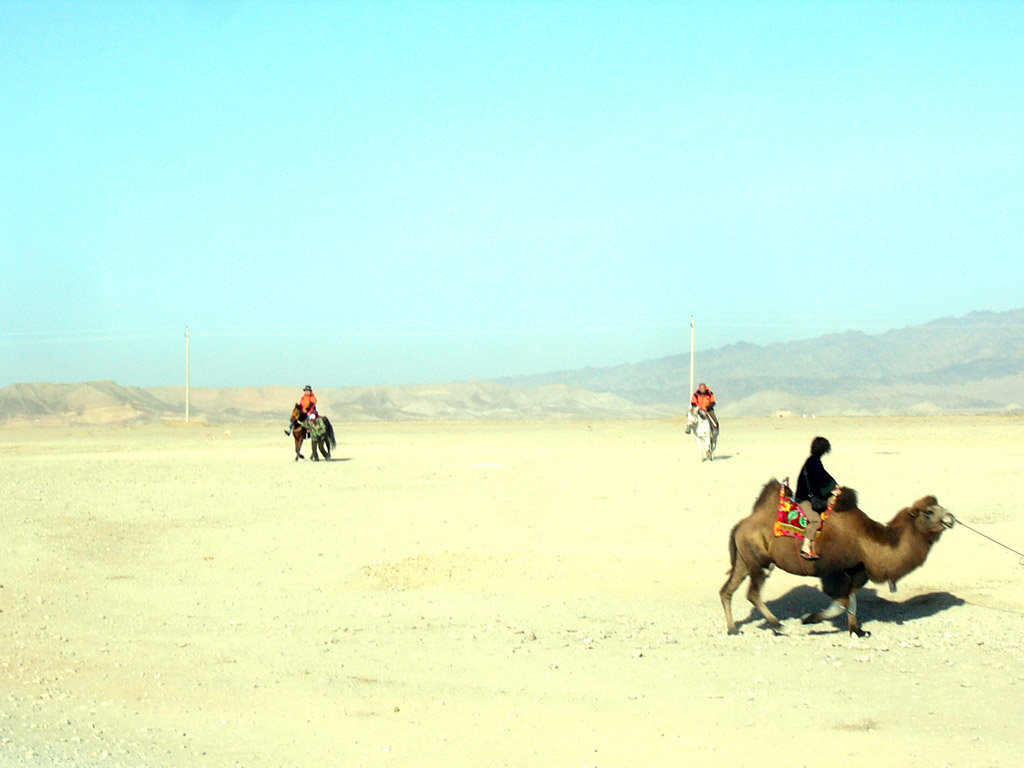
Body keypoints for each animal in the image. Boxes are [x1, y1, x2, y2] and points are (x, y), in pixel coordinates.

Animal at [720, 479, 954, 637]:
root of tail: (741, 524)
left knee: (727, 590)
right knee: (752, 593)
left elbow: (852, 601)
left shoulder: (857, 571)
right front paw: (810, 619)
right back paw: (778, 624)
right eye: (928, 512)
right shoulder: (832, 571)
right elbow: (842, 603)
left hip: (744, 559)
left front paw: (858, 631)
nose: (950, 518)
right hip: (758, 560)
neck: (867, 540)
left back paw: (733, 629)